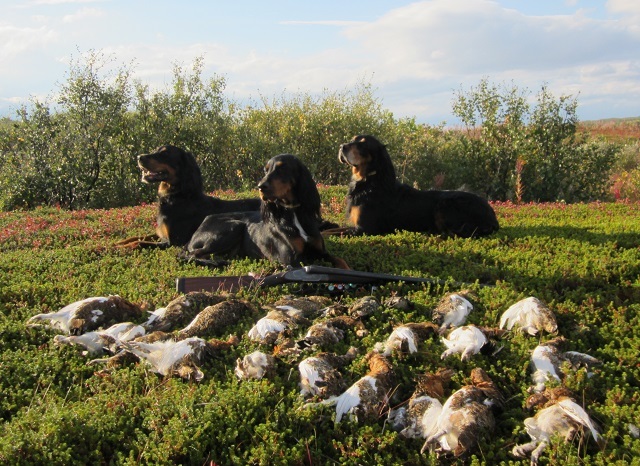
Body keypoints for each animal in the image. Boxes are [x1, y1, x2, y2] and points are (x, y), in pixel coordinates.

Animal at [117, 145, 261, 248]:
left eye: (165, 154)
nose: (139, 157)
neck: (178, 197)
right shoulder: (162, 235)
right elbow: (136, 238)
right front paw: (116, 243)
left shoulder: (172, 242)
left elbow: (140, 243)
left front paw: (119, 249)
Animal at [183, 154, 349, 269]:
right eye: (266, 170)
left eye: (282, 168)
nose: (260, 186)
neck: (292, 213)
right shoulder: (291, 259)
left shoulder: (320, 252)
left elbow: (340, 261)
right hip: (233, 226)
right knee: (191, 254)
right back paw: (214, 263)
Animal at [336, 135, 499, 237]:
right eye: (352, 139)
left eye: (362, 144)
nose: (342, 146)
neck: (369, 181)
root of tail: (492, 216)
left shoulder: (365, 229)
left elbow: (338, 233)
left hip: (445, 204)